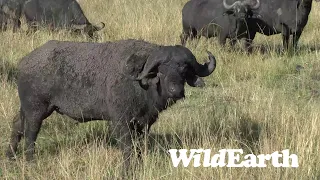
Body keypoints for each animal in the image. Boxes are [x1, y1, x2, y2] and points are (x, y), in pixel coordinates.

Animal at [6, 39, 218, 170]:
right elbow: (127, 147)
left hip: (26, 109)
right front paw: (127, 169)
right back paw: (30, 161)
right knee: (30, 134)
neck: (140, 85)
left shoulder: (143, 123)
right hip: (37, 109)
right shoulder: (120, 122)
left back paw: (10, 155)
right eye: (161, 70)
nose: (176, 91)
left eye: (184, 69)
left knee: (17, 125)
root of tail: (24, 62)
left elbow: (138, 147)